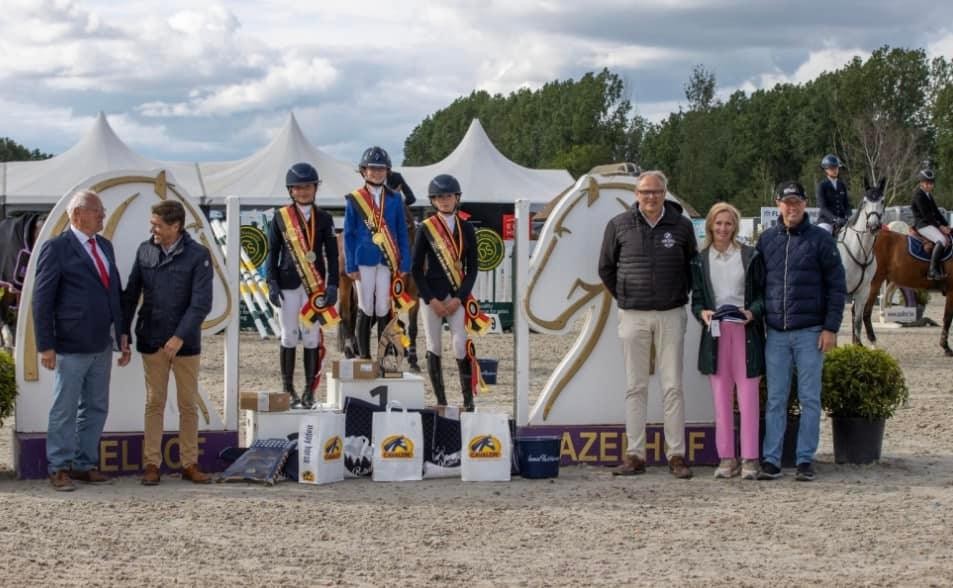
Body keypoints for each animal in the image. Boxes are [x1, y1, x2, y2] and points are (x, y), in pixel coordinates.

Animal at [864, 225, 952, 354]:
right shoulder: (951, 291)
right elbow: (947, 318)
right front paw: (946, 347)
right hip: (874, 282)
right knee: (864, 312)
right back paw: (872, 342)